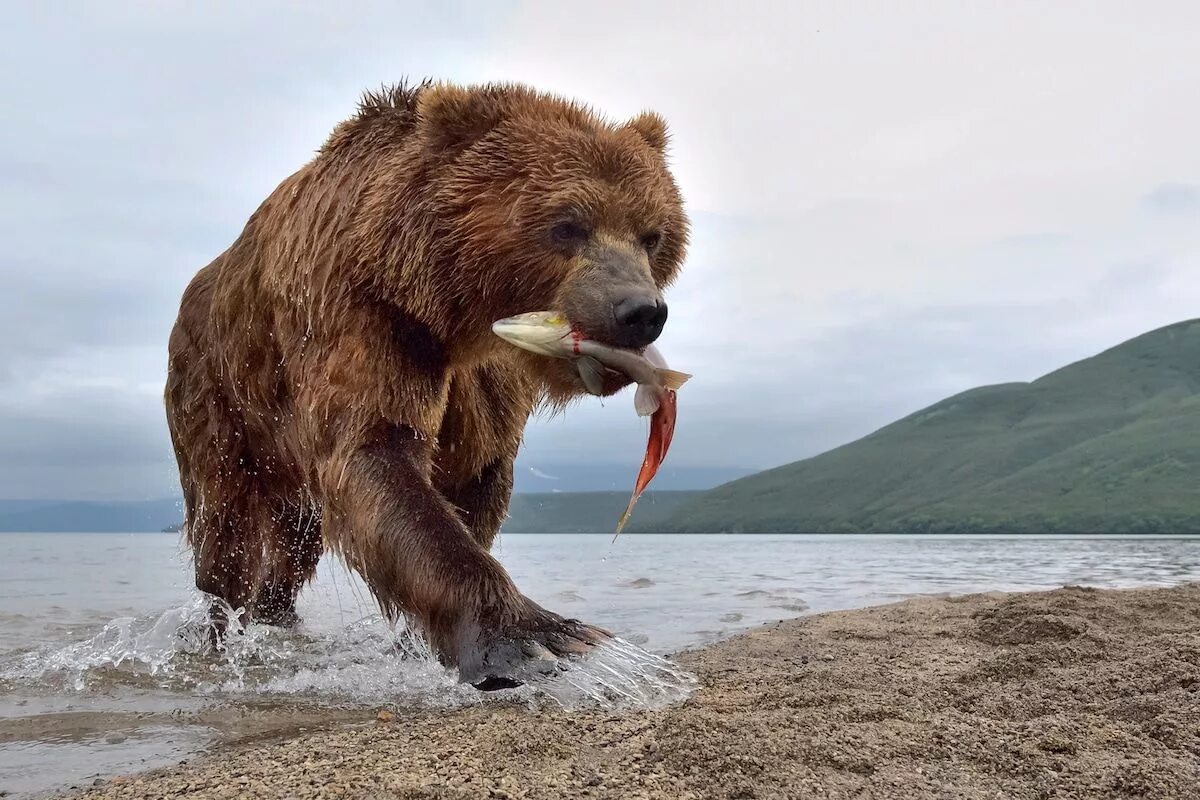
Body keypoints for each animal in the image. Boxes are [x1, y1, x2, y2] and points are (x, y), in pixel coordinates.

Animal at [164, 79, 691, 681]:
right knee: (226, 532)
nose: (640, 311)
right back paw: (217, 630)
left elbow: (475, 483)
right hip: (221, 397)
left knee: (291, 547)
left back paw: (277, 619)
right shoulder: (357, 315)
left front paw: (421, 642)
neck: (453, 316)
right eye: (566, 225)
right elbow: (374, 451)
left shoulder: (485, 388)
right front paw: (544, 636)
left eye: (652, 234)